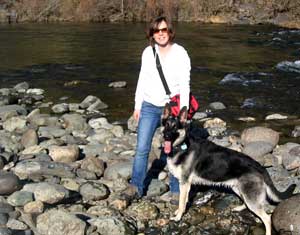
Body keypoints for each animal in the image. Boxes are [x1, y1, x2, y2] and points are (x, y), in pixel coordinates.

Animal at [162, 104, 296, 235]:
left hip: (249, 196)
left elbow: (181, 202)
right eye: (166, 125)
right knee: (246, 203)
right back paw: (239, 208)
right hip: (238, 189)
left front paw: (178, 217)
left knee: (267, 218)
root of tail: (259, 166)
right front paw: (178, 213)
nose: (166, 136)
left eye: (175, 127)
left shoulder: (184, 184)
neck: (181, 146)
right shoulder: (185, 185)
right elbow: (183, 201)